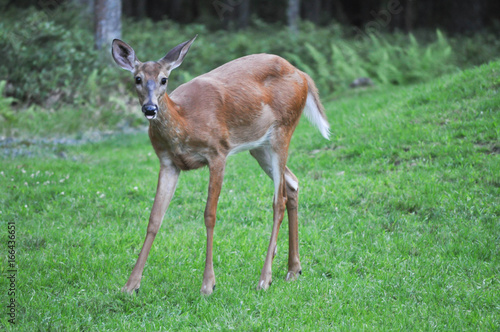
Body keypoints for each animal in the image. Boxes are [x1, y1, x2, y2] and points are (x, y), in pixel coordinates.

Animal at [112, 35, 332, 296]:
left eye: (164, 79)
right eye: (137, 79)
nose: (149, 108)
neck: (185, 121)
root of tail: (302, 74)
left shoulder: (217, 153)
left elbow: (210, 214)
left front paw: (208, 283)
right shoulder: (167, 162)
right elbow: (155, 218)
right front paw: (130, 285)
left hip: (283, 130)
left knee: (278, 200)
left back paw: (265, 278)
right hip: (259, 147)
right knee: (293, 183)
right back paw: (293, 270)